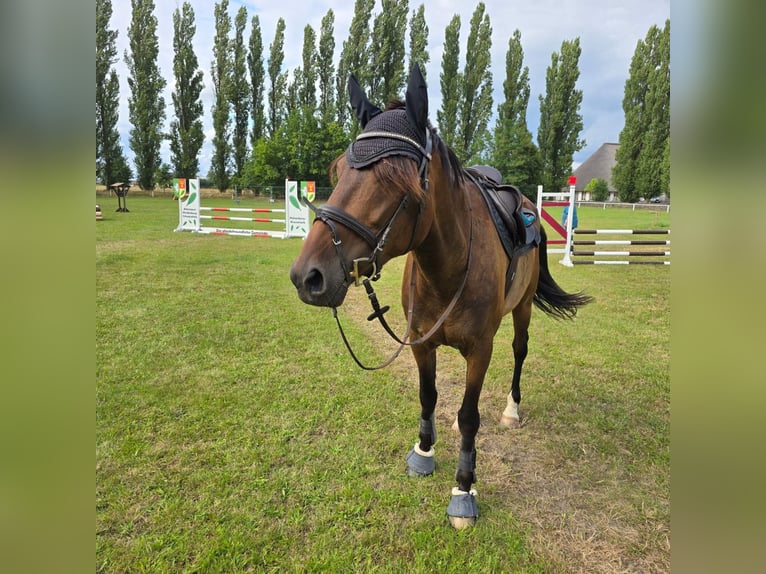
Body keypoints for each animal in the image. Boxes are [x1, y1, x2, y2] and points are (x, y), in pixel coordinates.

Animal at [290, 64, 592, 532]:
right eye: (338, 170)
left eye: (394, 177)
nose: (309, 276)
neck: (446, 267)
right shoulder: (421, 342)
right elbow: (429, 397)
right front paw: (424, 452)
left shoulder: (481, 349)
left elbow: (471, 416)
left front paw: (463, 489)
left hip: (522, 309)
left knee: (519, 351)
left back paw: (512, 410)